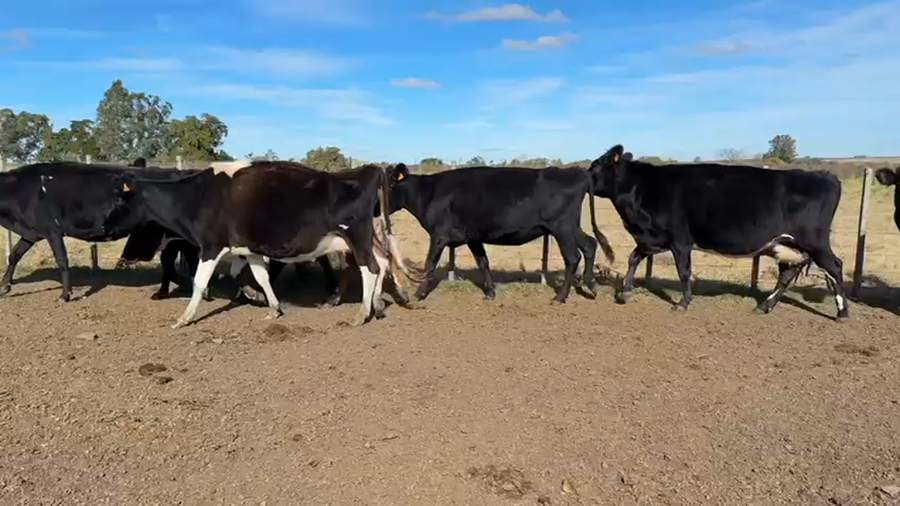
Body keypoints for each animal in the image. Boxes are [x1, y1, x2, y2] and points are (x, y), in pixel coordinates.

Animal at [0, 161, 199, 301]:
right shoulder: (32, 232)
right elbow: (14, 255)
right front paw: (4, 286)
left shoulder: (52, 230)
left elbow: (62, 260)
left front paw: (65, 295)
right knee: (174, 261)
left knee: (174, 260)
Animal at [101, 161, 398, 328]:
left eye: (118, 200)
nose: (103, 226)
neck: (197, 196)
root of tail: (368, 169)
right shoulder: (249, 250)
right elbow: (258, 276)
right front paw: (269, 305)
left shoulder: (211, 246)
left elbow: (199, 282)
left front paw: (183, 319)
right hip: (365, 239)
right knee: (383, 261)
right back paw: (377, 305)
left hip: (356, 237)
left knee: (370, 268)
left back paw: (362, 313)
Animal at [384, 163, 616, 303]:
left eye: (389, 184)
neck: (429, 193)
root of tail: (578, 172)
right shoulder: (473, 238)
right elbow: (483, 262)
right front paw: (491, 292)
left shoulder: (439, 235)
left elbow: (429, 263)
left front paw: (419, 293)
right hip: (571, 227)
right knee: (590, 245)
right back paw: (591, 285)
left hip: (562, 227)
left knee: (573, 257)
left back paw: (560, 297)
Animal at [586, 144, 849, 322]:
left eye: (595, 165)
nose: (582, 174)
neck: (641, 188)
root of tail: (822, 174)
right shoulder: (652, 238)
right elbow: (633, 257)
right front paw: (624, 291)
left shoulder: (680, 240)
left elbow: (684, 272)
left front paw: (683, 303)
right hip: (787, 245)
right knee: (787, 275)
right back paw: (763, 306)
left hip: (814, 240)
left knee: (835, 266)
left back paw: (842, 312)